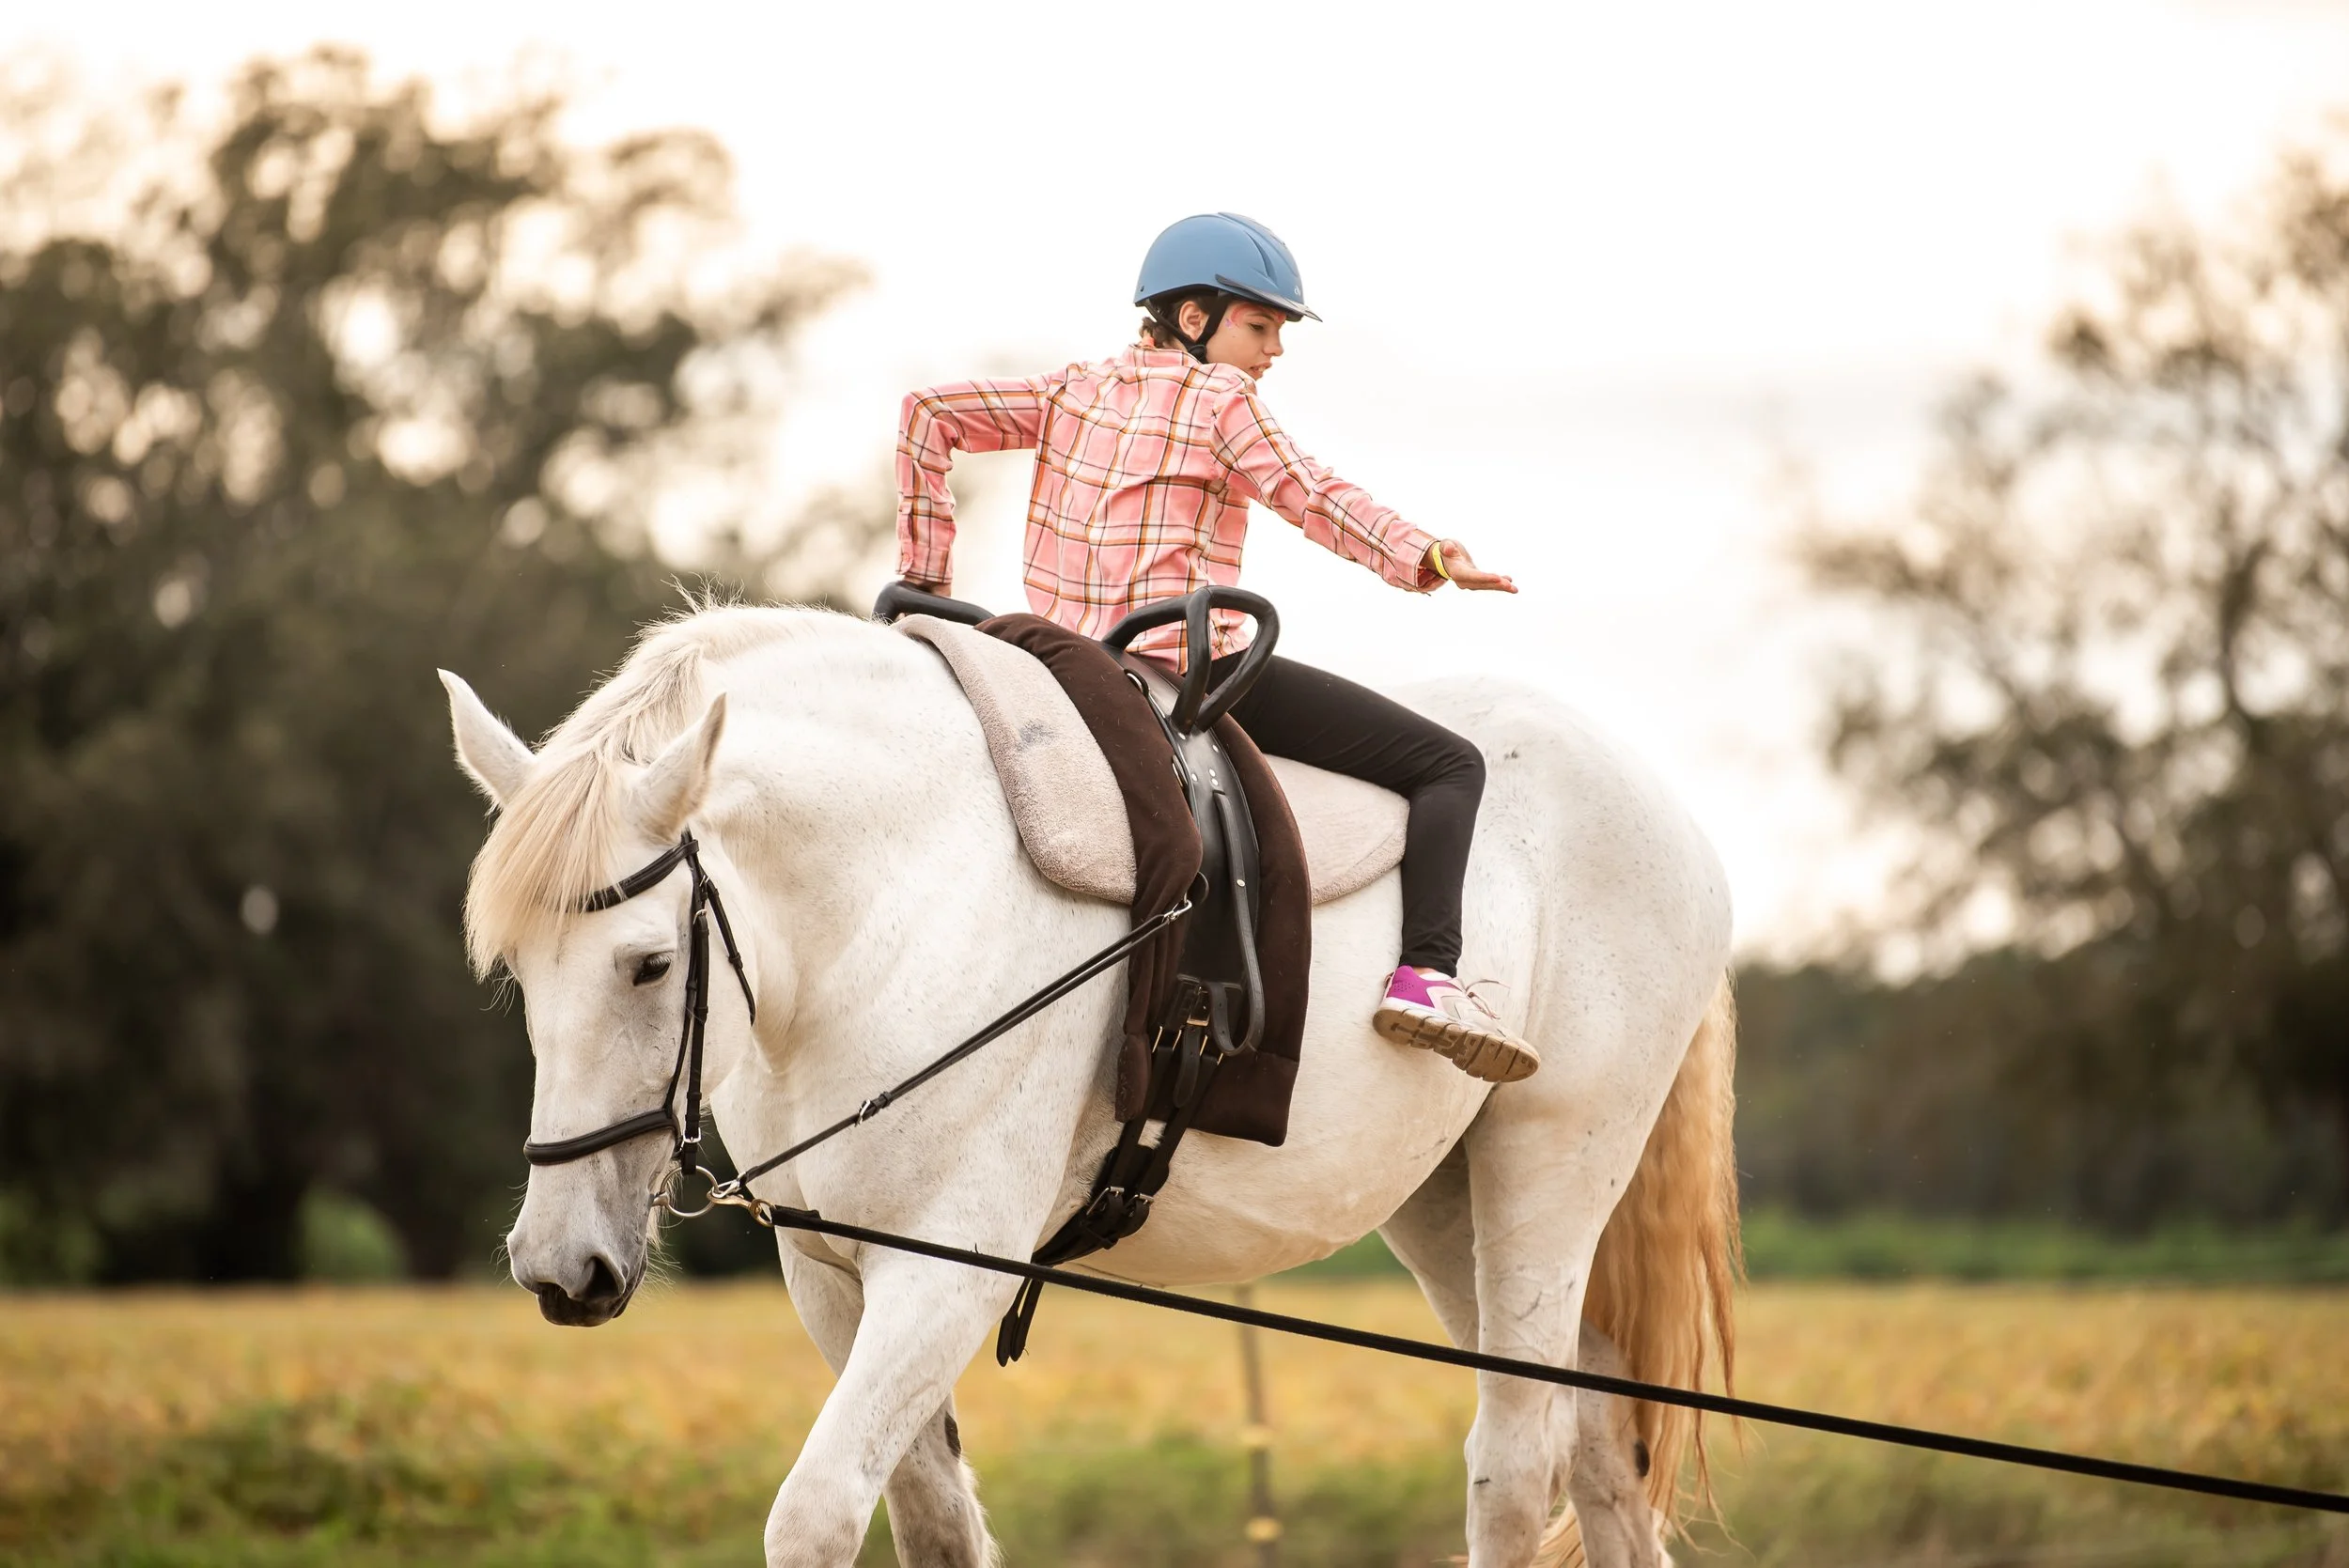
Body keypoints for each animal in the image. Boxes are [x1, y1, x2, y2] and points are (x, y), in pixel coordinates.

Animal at [440, 602, 1738, 1568]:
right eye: (517, 970)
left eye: (648, 963)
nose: (558, 1266)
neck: (893, 900)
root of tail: (1662, 804)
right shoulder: (832, 1275)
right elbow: (931, 1524)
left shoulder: (946, 1270)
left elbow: (814, 1515)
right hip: (1444, 1206)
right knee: (1595, 1443)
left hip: (1545, 1172)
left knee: (1514, 1466)